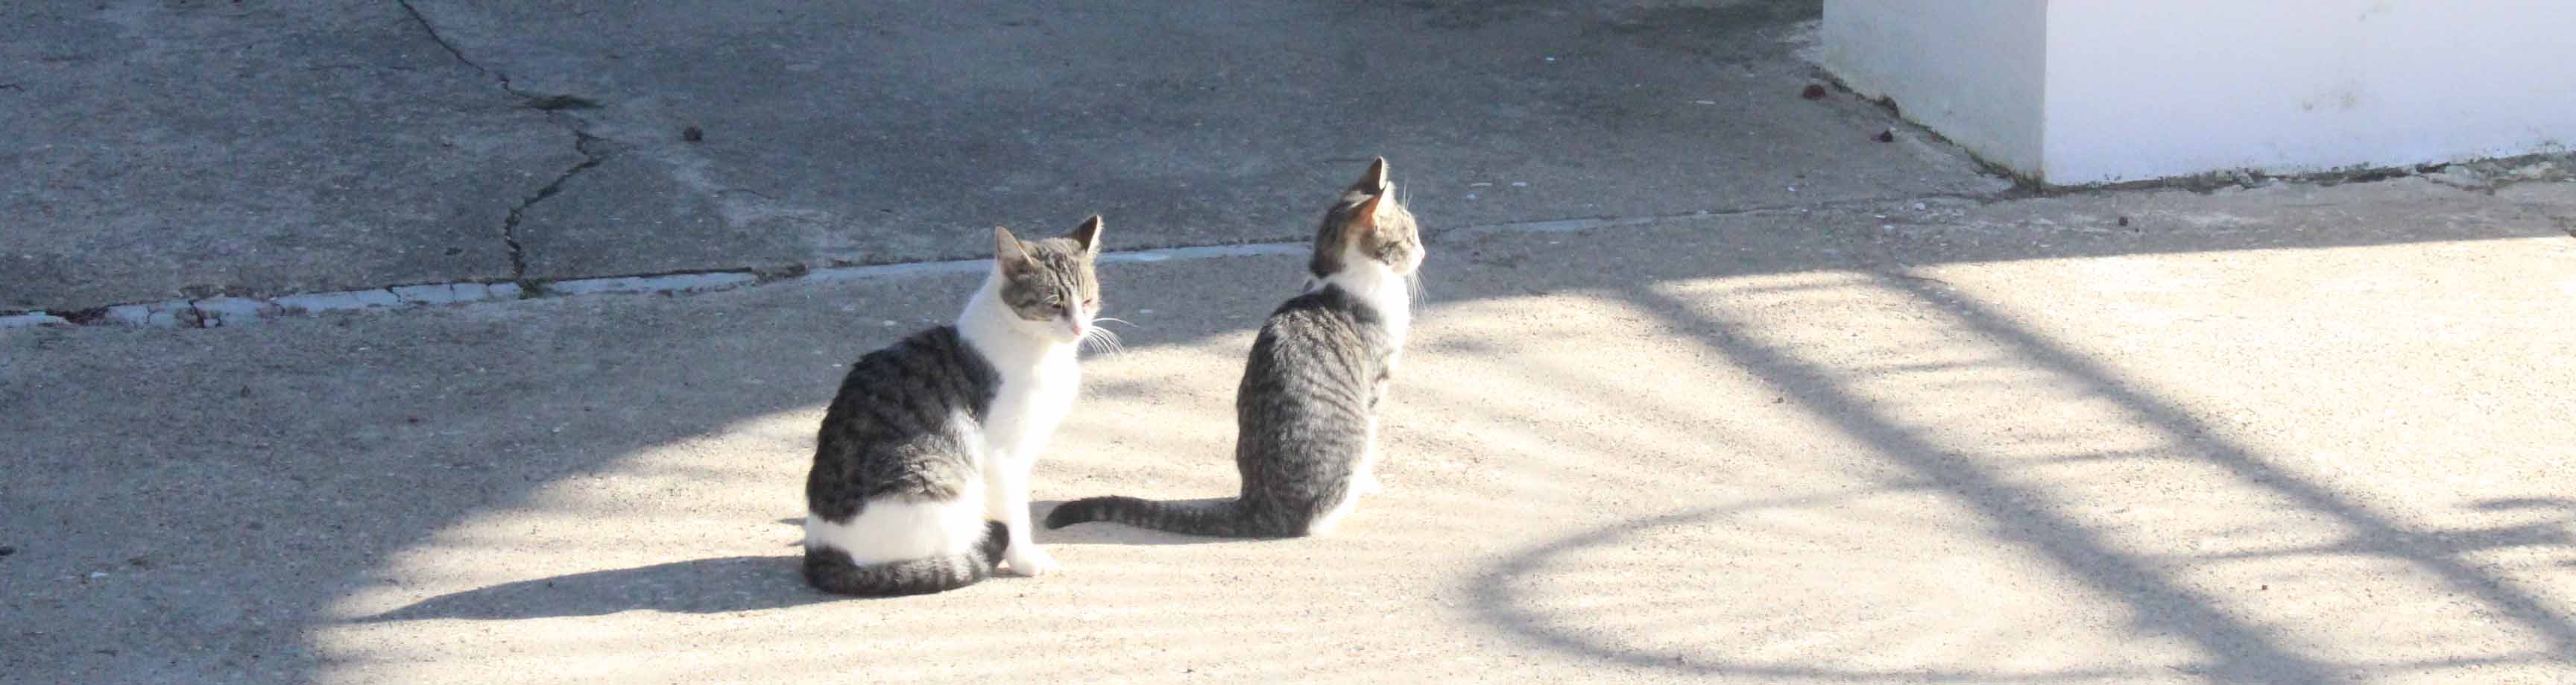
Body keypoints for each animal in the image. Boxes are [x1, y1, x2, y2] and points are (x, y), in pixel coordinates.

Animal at [804, 216, 1108, 597]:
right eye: (1054, 304)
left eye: (1088, 300)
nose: (1080, 327)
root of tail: (822, 549)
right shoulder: (1004, 456)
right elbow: (1015, 512)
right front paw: (1025, 560)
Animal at [1035, 157, 1421, 538]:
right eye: (1410, 236)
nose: (1423, 251)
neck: (1339, 280)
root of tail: (1256, 505)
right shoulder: (1377, 381)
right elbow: (1374, 432)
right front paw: (1371, 484)